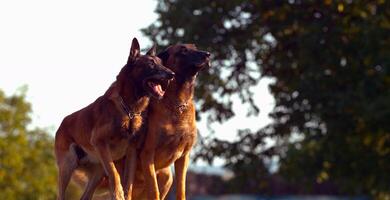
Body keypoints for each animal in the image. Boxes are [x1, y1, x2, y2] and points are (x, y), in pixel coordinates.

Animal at [53, 38, 174, 200]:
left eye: (161, 63)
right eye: (151, 64)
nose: (172, 74)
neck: (129, 109)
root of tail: (62, 123)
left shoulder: (131, 152)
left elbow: (128, 183)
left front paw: (125, 195)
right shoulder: (100, 143)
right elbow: (114, 174)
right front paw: (118, 194)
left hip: (97, 172)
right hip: (68, 165)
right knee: (61, 194)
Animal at [140, 44, 212, 200]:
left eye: (195, 47)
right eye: (183, 50)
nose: (208, 54)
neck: (177, 103)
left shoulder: (184, 157)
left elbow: (181, 189)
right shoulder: (148, 154)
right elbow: (153, 191)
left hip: (167, 177)